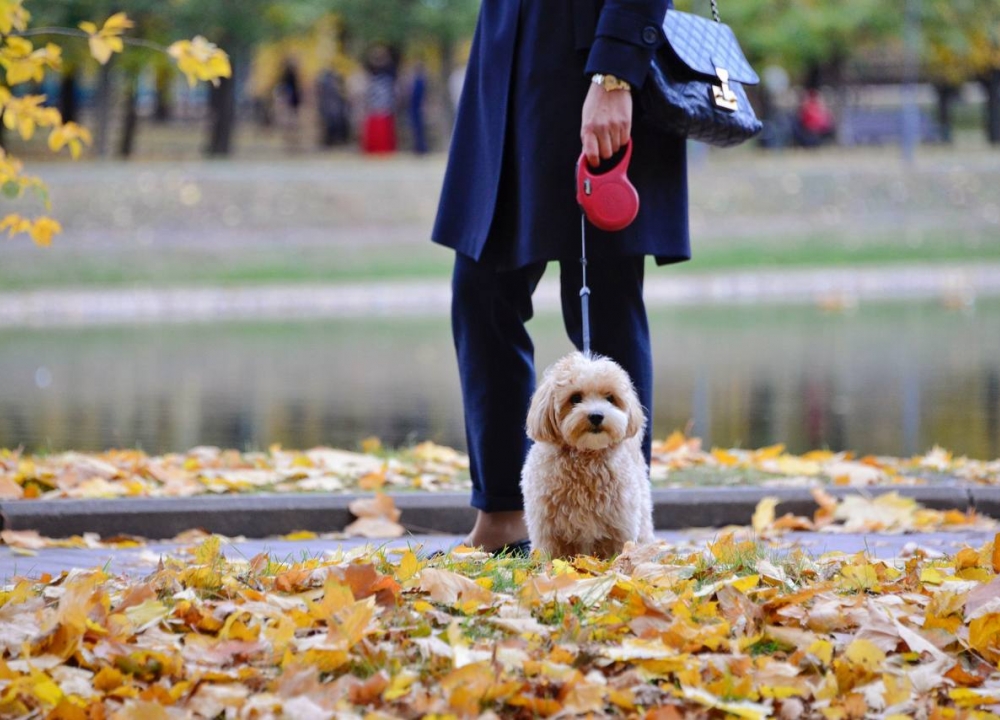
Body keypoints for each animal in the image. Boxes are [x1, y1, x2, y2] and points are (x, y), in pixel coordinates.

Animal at [524, 352, 656, 560]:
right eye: (575, 398)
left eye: (610, 398)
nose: (596, 415)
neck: (586, 456)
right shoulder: (548, 531)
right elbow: (552, 558)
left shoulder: (619, 528)